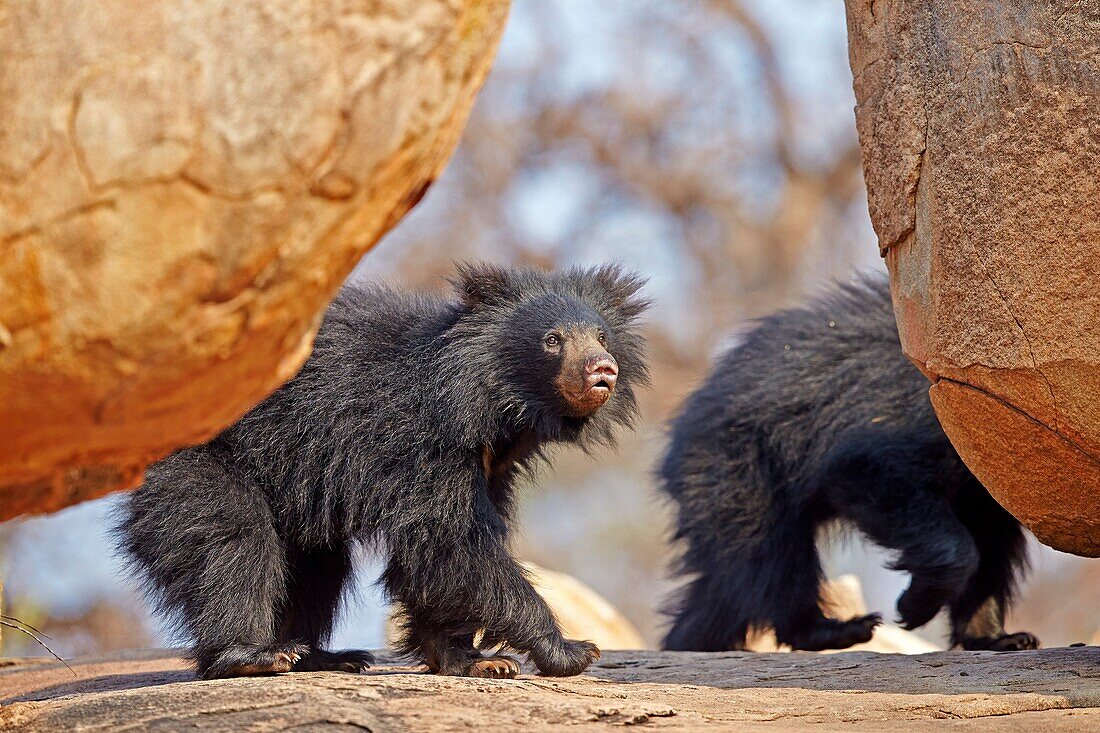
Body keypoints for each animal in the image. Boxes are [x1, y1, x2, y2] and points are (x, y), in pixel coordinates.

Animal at [118, 263, 651, 677]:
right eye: (552, 341)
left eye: (601, 336)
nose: (602, 369)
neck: (494, 404)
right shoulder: (425, 444)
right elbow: (450, 541)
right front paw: (571, 651)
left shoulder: (491, 465)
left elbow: (437, 557)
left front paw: (474, 660)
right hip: (203, 462)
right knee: (231, 538)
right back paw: (253, 655)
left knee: (317, 567)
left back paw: (320, 656)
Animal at [655, 274, 1034, 651]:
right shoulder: (933, 422)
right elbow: (870, 471)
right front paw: (911, 608)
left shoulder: (987, 482)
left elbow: (991, 542)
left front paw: (998, 637)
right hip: (739, 467)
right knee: (770, 553)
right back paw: (836, 629)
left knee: (725, 585)